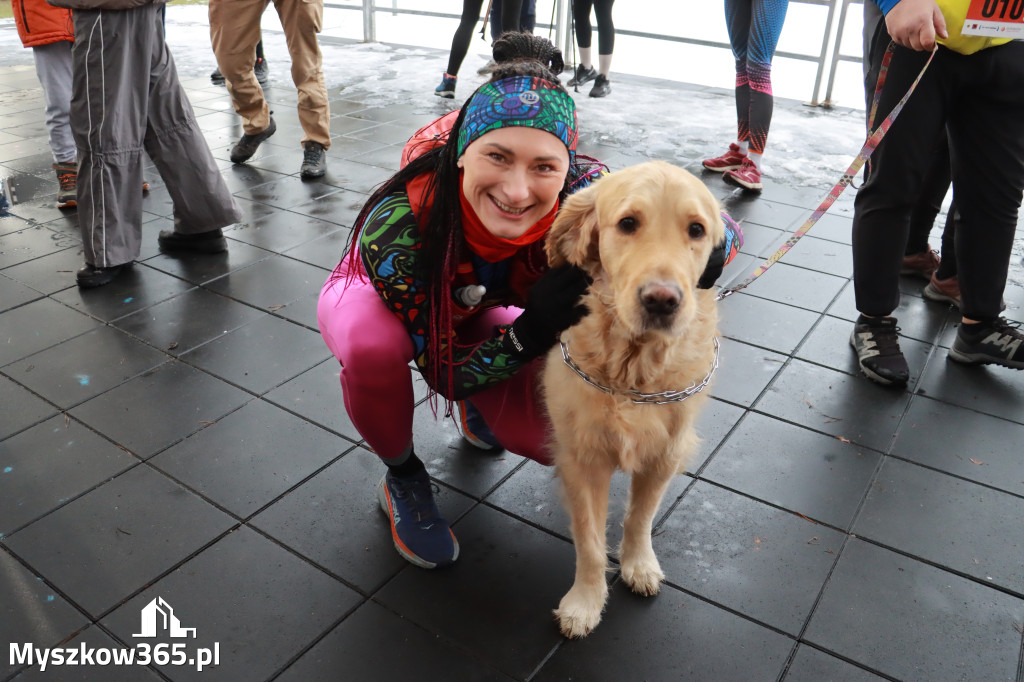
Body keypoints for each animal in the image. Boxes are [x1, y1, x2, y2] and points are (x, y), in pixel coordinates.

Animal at [540, 160, 724, 638]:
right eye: (627, 223)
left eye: (696, 229)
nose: (661, 300)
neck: (630, 374)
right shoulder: (582, 457)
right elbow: (589, 540)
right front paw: (585, 602)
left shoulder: (667, 451)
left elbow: (640, 518)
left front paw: (638, 565)